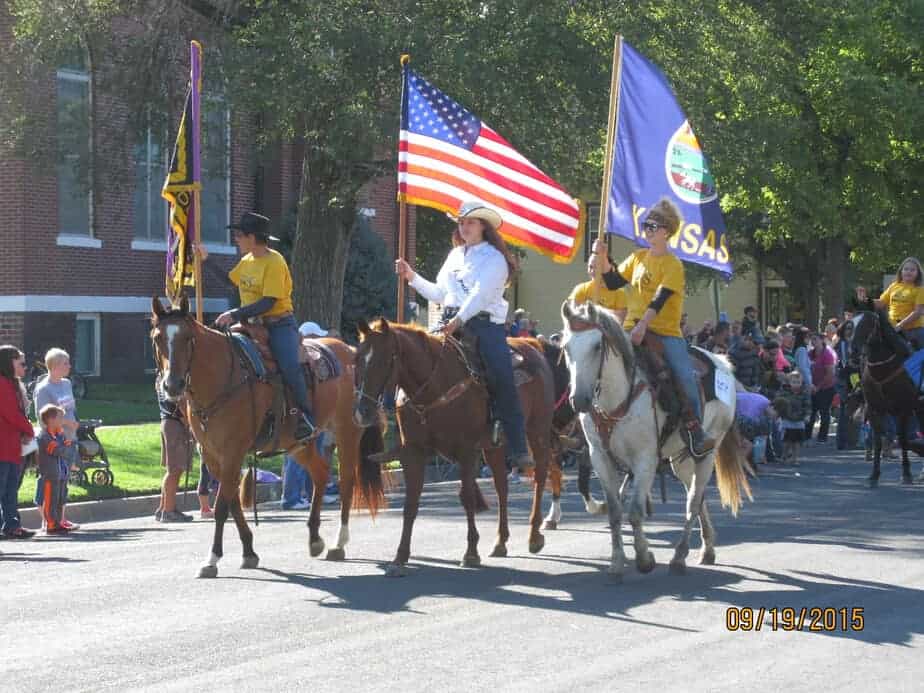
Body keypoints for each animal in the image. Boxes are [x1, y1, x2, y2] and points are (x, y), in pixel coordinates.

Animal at [152, 294, 382, 576]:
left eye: (187, 338)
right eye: (157, 337)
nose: (172, 385)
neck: (224, 378)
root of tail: (350, 351)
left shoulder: (233, 451)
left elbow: (222, 507)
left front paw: (212, 559)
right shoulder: (212, 455)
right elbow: (232, 502)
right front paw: (249, 552)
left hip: (347, 432)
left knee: (347, 480)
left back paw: (338, 543)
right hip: (299, 443)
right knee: (320, 473)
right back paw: (314, 538)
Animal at [352, 318, 556, 572]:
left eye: (385, 359)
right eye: (357, 359)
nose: (362, 413)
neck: (433, 387)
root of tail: (533, 346)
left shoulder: (467, 450)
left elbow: (467, 497)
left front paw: (471, 553)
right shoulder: (413, 453)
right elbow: (411, 504)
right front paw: (399, 558)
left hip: (538, 432)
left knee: (540, 476)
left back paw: (535, 536)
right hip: (494, 447)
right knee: (501, 487)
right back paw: (500, 542)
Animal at [556, 300, 752, 580]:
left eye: (596, 346)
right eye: (566, 347)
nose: (579, 399)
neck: (618, 398)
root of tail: (722, 362)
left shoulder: (645, 460)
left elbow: (636, 512)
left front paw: (644, 558)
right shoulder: (600, 457)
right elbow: (615, 512)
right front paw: (617, 562)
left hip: (707, 452)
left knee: (693, 501)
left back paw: (680, 557)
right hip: (681, 460)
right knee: (697, 495)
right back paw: (707, 549)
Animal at [848, 310, 920, 484]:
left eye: (868, 324)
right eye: (850, 326)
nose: (853, 351)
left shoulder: (903, 408)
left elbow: (903, 439)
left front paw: (907, 473)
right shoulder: (874, 409)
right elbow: (878, 440)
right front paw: (874, 475)